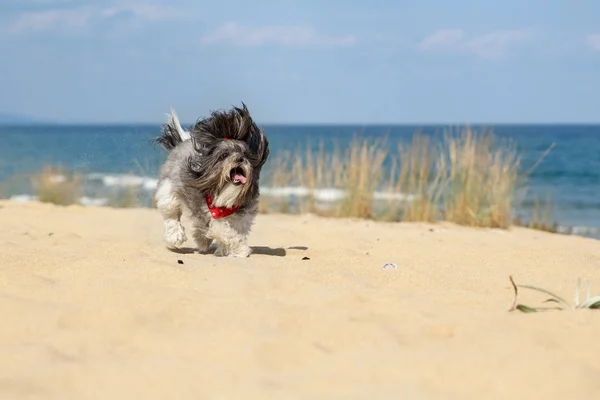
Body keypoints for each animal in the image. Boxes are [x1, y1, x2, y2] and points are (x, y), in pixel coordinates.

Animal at [155, 103, 270, 258]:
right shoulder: (213, 217)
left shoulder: (242, 218)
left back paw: (202, 241)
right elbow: (226, 232)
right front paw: (241, 249)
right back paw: (176, 236)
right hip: (169, 191)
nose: (240, 159)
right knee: (172, 216)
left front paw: (226, 250)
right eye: (224, 155)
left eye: (245, 154)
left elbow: (234, 232)